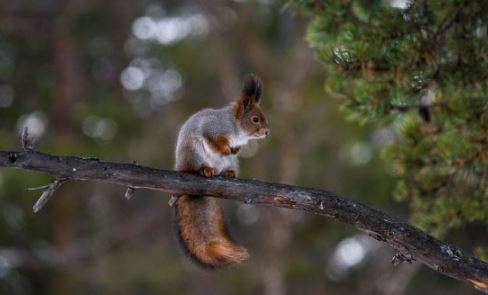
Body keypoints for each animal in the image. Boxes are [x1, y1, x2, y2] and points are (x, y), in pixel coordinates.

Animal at [173, 73, 270, 270]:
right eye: (255, 119)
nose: (267, 132)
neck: (237, 129)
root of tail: (180, 164)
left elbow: (237, 148)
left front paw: (235, 149)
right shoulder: (212, 128)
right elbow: (214, 140)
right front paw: (225, 148)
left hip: (230, 162)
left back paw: (227, 173)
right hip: (193, 153)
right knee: (196, 166)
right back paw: (205, 169)